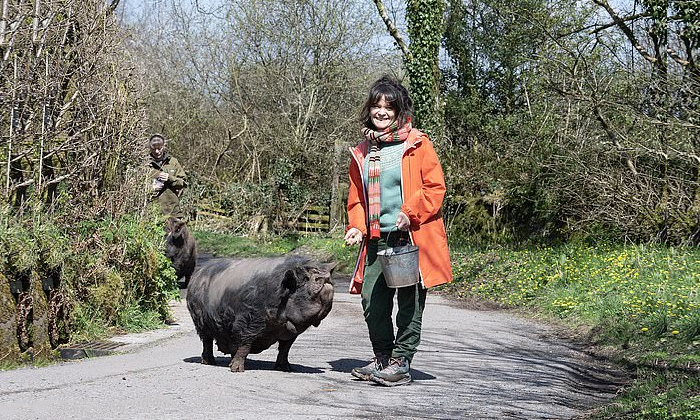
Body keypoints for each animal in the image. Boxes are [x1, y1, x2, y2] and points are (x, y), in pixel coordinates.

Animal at [187, 254, 334, 372]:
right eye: (306, 279)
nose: (325, 277)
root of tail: (197, 275)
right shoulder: (248, 321)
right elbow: (245, 345)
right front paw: (236, 370)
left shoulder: (290, 333)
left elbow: (285, 349)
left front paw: (286, 368)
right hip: (199, 320)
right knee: (207, 340)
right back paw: (209, 362)